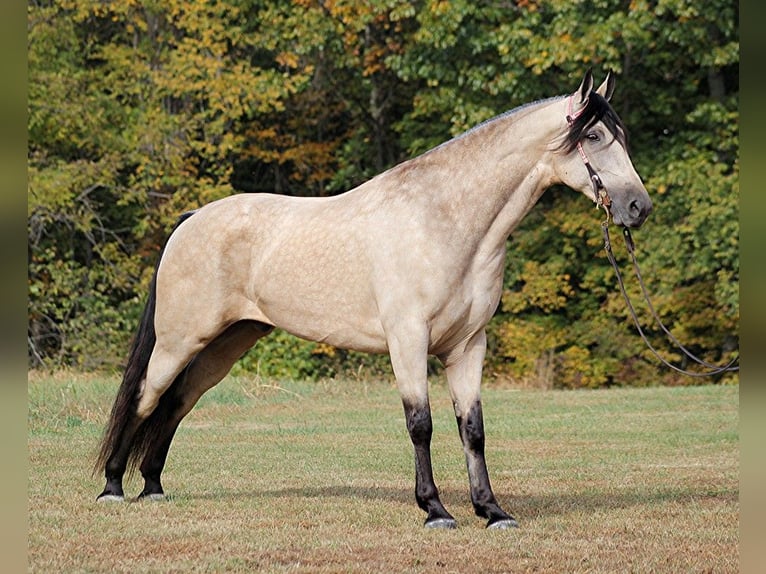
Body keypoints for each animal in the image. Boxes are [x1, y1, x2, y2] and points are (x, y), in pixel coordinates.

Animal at [93, 71, 652, 532]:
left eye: (622, 138)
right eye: (594, 137)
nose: (637, 207)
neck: (444, 220)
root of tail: (190, 220)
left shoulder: (468, 346)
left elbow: (472, 429)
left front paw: (492, 511)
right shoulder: (408, 340)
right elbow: (421, 425)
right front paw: (435, 510)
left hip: (225, 345)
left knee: (177, 403)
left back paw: (154, 487)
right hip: (179, 341)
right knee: (145, 397)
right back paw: (114, 487)